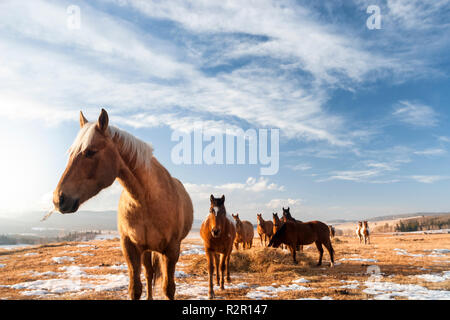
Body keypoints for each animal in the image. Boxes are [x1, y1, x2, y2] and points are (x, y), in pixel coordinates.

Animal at [52, 109, 193, 300]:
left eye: (90, 152)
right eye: (71, 153)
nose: (58, 199)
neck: (147, 200)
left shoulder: (172, 250)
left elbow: (168, 288)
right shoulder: (130, 247)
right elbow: (135, 289)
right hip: (146, 250)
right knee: (149, 274)